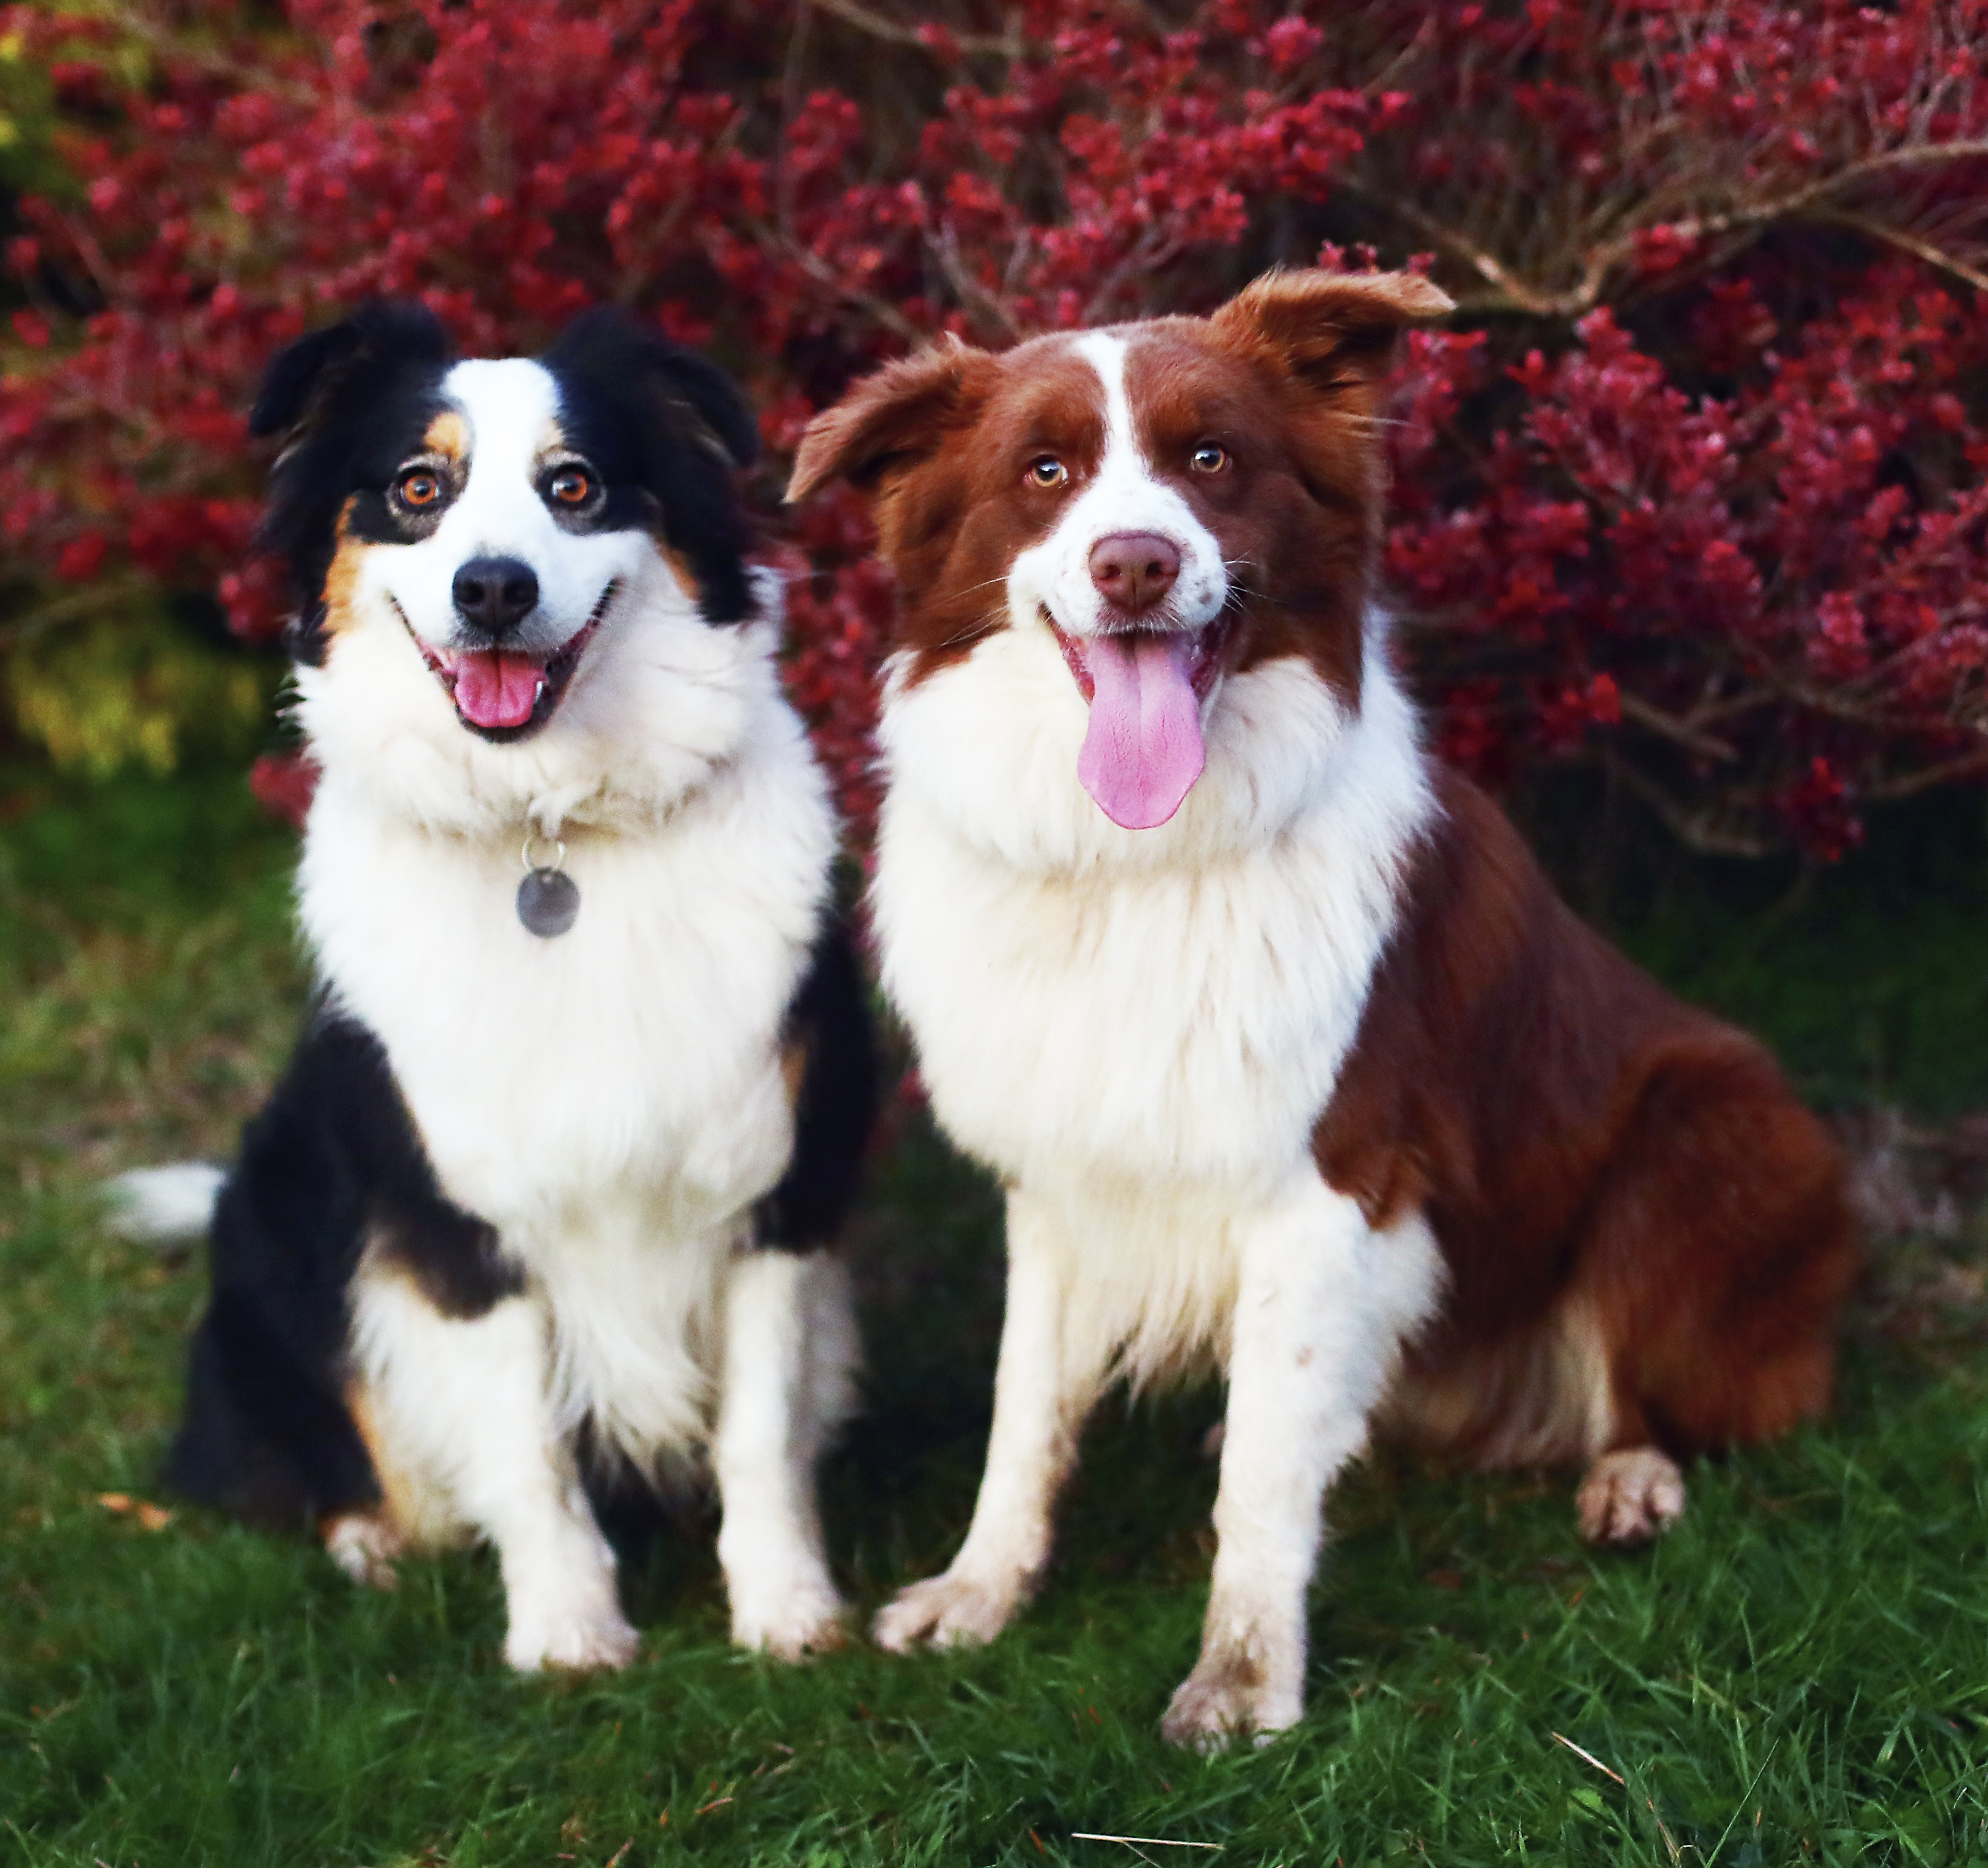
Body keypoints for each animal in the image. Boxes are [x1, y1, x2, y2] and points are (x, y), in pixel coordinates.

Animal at [137, 302, 876, 1671]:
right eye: (417, 489)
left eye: (573, 485)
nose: (492, 588)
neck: (553, 835)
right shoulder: (453, 1221)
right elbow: (528, 1449)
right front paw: (569, 1631)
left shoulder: (775, 1188)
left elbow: (758, 1429)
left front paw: (787, 1611)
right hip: (275, 1226)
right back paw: (375, 1539)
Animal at [789, 269, 1857, 1745]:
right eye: (1044, 472)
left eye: (1210, 458)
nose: (1135, 565)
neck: (1139, 865)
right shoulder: (1058, 1175)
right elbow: (1025, 1409)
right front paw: (979, 1589)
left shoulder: (1330, 1179)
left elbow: (1262, 1482)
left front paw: (1243, 1678)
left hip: (1711, 1127)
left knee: (1663, 1383)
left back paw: (1632, 1478)